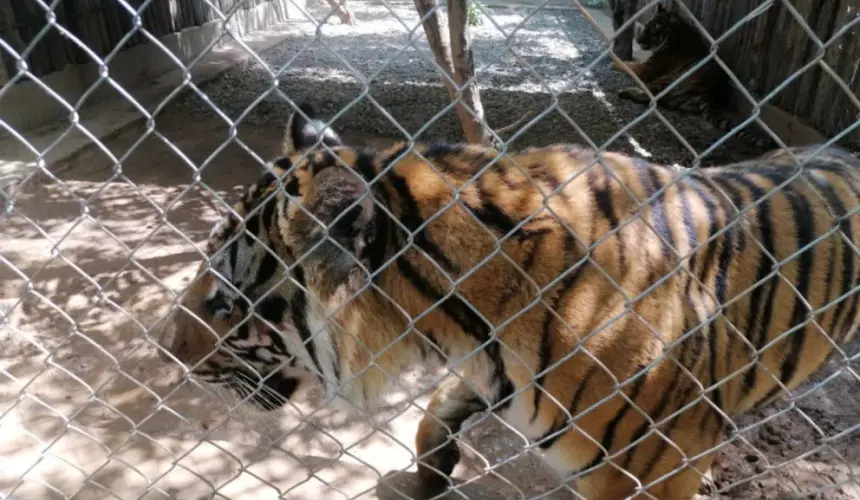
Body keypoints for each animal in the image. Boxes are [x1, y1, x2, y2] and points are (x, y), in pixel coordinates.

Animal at [608, 3, 776, 148]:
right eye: (647, 26)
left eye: (654, 31)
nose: (638, 40)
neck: (675, 33)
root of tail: (708, 93)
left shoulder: (647, 70)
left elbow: (629, 65)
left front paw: (612, 61)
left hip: (669, 80)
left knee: (649, 98)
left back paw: (624, 92)